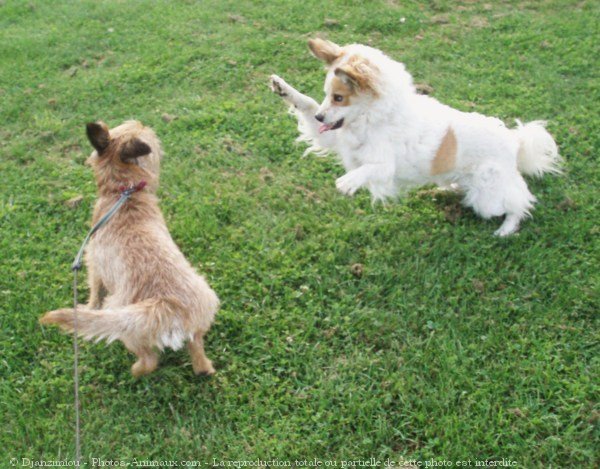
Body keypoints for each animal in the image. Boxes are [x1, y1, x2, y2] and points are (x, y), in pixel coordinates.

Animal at [40, 120, 218, 376]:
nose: (143, 122)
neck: (123, 191)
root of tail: (168, 307)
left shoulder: (93, 262)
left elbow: (94, 292)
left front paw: (88, 306)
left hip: (125, 323)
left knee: (149, 360)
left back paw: (134, 371)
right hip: (198, 324)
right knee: (199, 357)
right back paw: (204, 369)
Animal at [272, 38, 564, 236]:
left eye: (339, 98)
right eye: (326, 95)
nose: (322, 117)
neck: (369, 120)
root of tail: (515, 142)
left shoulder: (384, 166)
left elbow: (369, 169)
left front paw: (348, 182)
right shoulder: (334, 138)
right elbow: (305, 104)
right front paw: (284, 88)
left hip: (488, 197)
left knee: (520, 201)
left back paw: (507, 228)